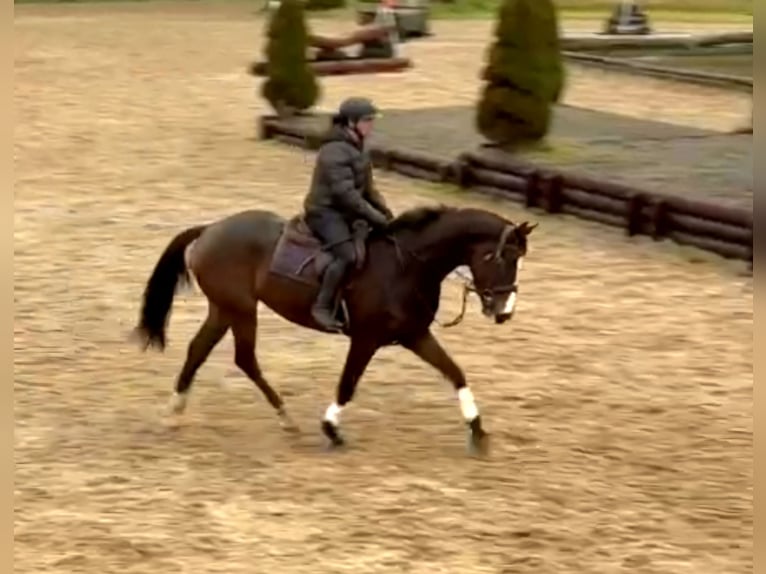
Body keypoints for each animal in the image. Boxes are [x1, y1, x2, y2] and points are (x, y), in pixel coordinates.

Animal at [132, 205, 536, 456]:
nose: (504, 312)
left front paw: (478, 431)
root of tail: (211, 228)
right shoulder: (366, 339)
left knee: (201, 351)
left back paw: (177, 411)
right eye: (502, 257)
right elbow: (348, 384)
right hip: (240, 310)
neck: (406, 265)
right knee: (244, 358)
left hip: (225, 309)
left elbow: (455, 372)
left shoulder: (415, 335)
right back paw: (284, 417)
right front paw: (331, 428)